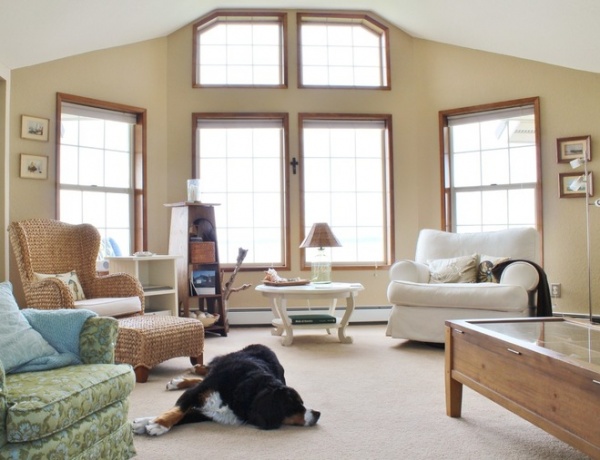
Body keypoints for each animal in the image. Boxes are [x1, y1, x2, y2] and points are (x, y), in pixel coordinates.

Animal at [131, 344, 318, 434]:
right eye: (294, 404)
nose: (318, 414)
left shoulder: (207, 413)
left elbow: (182, 416)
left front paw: (145, 423)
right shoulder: (195, 393)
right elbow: (178, 411)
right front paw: (158, 424)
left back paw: (180, 380)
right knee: (207, 370)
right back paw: (192, 371)